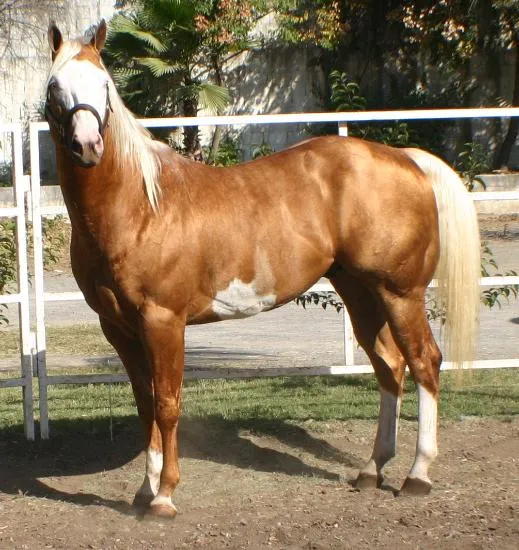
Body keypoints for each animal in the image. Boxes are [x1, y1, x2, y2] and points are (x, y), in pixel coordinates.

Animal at [46, 21, 482, 520]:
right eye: (55, 86)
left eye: (105, 86)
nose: (87, 146)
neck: (140, 206)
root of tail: (406, 158)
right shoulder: (119, 328)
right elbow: (145, 406)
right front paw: (144, 490)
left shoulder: (163, 322)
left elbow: (168, 404)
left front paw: (164, 496)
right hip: (360, 291)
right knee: (389, 366)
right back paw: (372, 471)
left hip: (401, 292)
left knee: (425, 362)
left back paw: (418, 475)